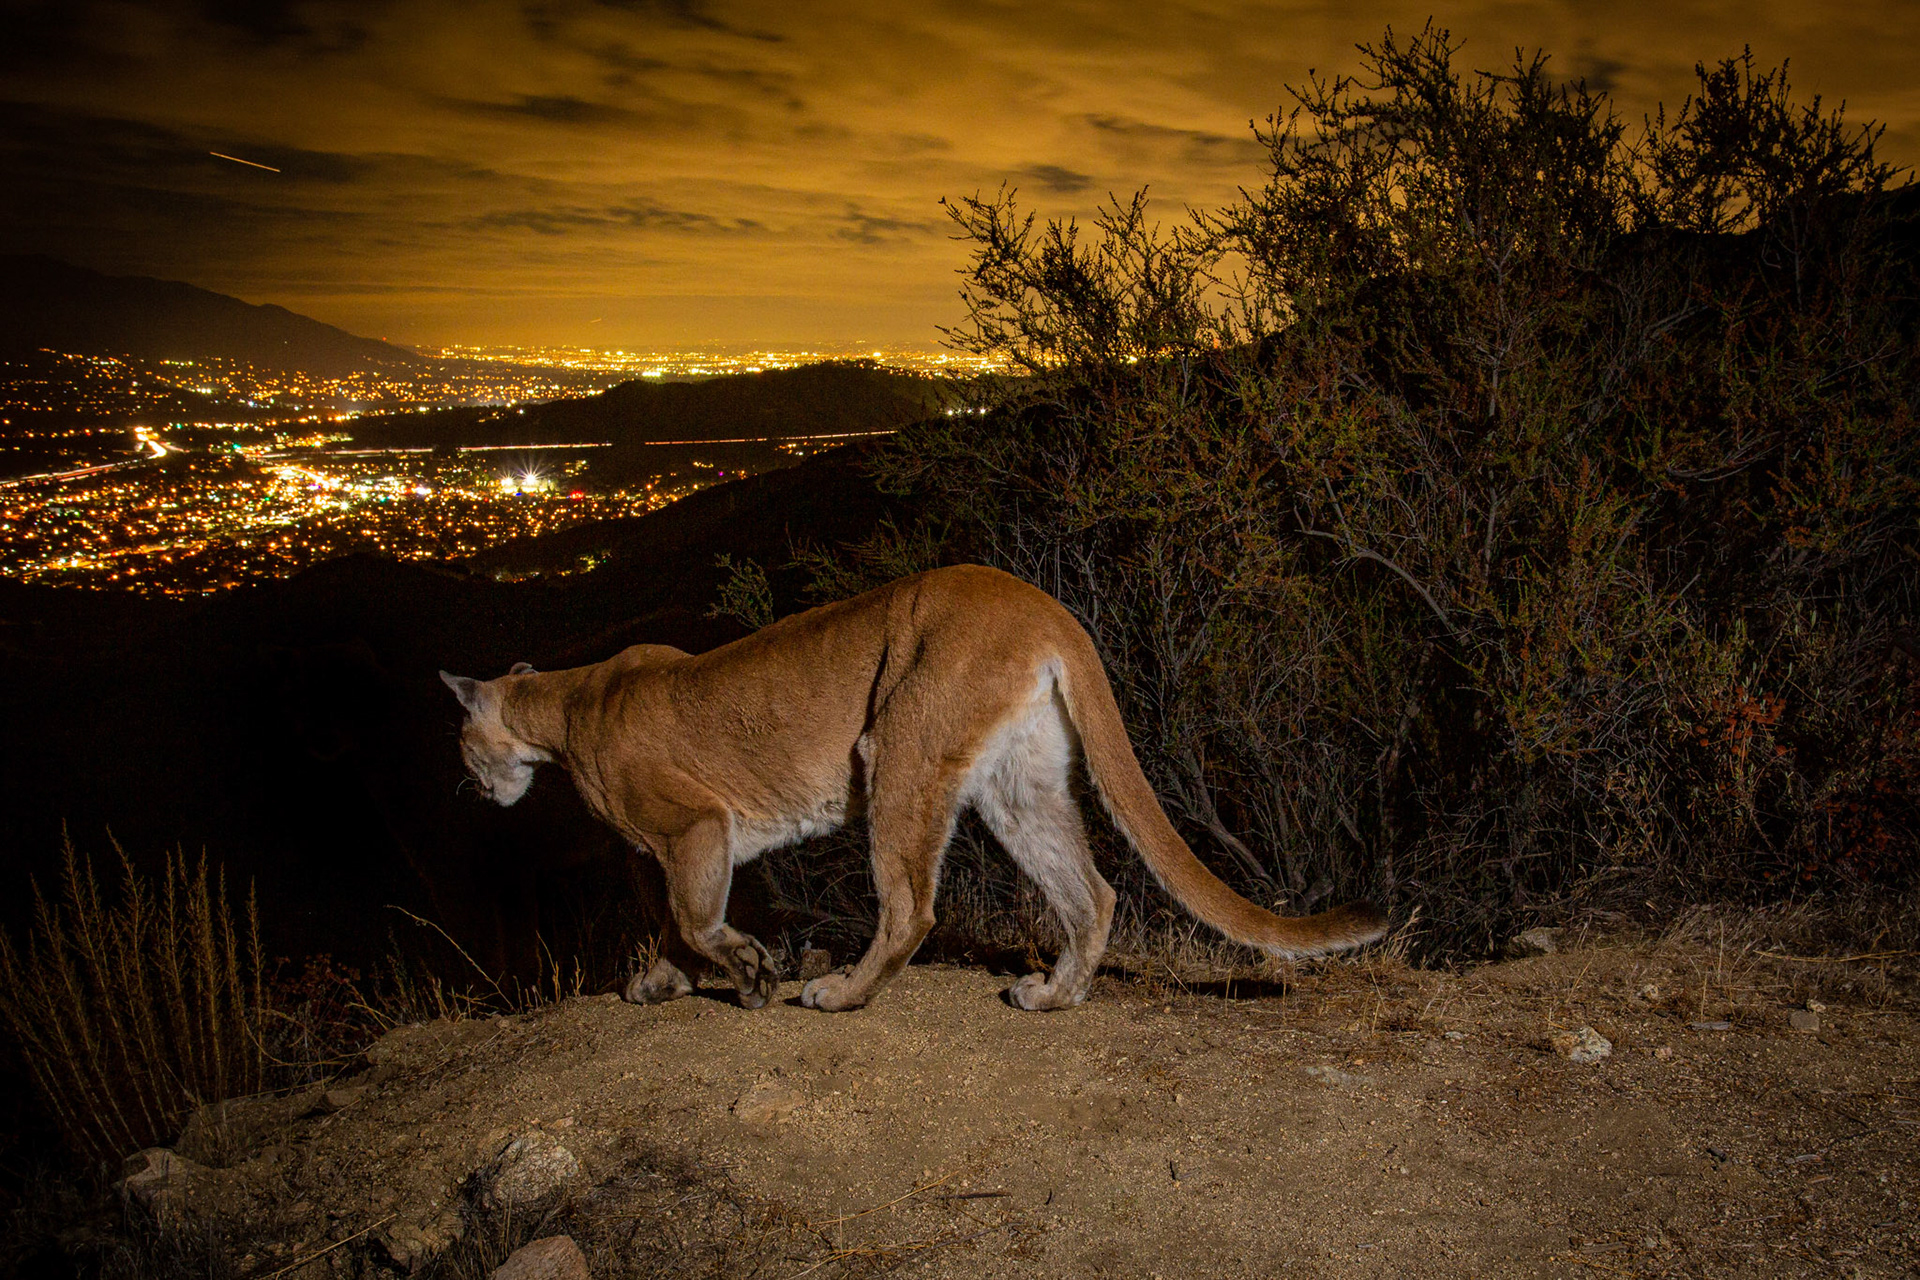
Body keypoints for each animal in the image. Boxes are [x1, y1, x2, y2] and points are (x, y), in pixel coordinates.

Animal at [440, 564, 1385, 1012]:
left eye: (462, 750)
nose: (478, 792)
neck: (563, 706)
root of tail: (1046, 606)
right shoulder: (661, 849)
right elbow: (671, 924)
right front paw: (663, 982)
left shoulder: (694, 827)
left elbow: (695, 918)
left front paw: (750, 973)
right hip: (1017, 785)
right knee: (1092, 892)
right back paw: (1053, 996)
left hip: (895, 741)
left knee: (911, 908)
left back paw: (841, 993)